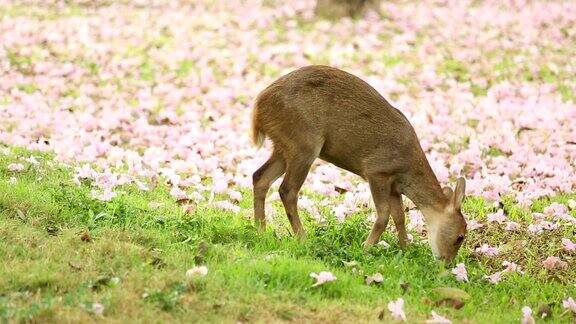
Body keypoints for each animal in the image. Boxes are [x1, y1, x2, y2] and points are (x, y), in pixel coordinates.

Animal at [250, 65, 466, 260]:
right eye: (460, 237)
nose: (447, 263)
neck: (407, 167)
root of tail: (259, 106)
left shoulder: (394, 184)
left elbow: (399, 216)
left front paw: (405, 249)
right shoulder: (376, 170)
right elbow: (384, 214)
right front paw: (366, 248)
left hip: (284, 145)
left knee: (260, 177)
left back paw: (261, 232)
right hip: (304, 144)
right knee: (287, 190)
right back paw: (303, 238)